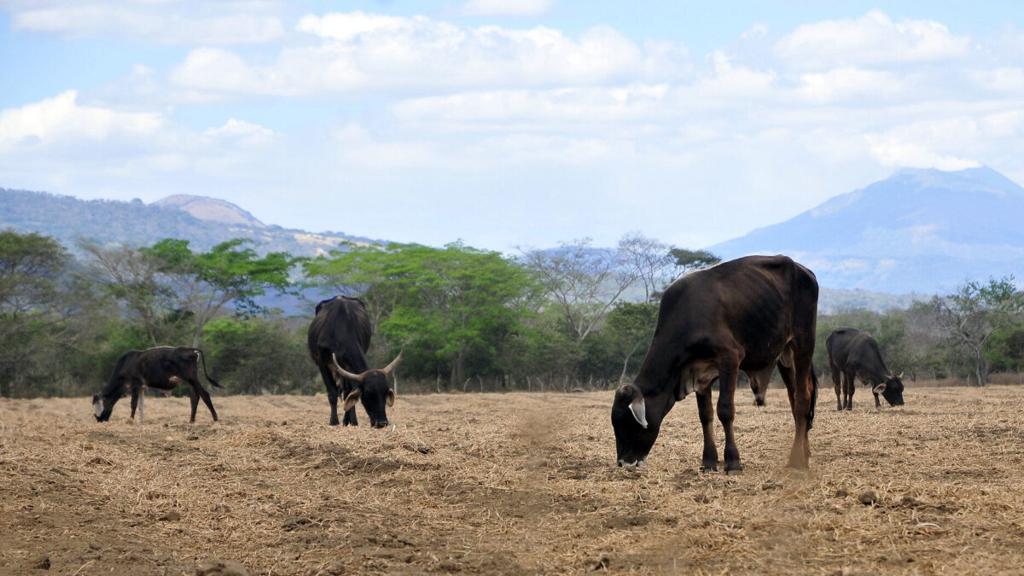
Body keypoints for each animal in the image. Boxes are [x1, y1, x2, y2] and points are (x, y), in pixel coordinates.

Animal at [92, 346, 221, 423]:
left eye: (100, 403)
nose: (99, 419)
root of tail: (191, 349)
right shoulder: (141, 387)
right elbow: (141, 406)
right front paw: (141, 421)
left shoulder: (135, 384)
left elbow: (133, 403)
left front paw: (131, 420)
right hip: (189, 381)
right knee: (194, 397)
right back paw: (191, 420)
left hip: (191, 378)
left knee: (205, 394)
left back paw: (215, 418)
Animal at [307, 296, 401, 428]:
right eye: (368, 394)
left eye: (385, 393)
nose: (382, 423)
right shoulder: (322, 363)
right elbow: (332, 393)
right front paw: (333, 422)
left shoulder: (348, 366)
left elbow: (349, 393)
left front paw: (353, 422)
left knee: (347, 392)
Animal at [611, 255, 819, 471]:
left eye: (626, 422)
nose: (623, 463)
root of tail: (805, 271)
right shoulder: (699, 372)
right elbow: (705, 415)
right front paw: (709, 460)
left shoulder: (730, 358)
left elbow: (725, 410)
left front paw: (733, 461)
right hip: (785, 356)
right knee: (794, 397)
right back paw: (805, 451)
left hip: (803, 343)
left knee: (802, 398)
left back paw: (796, 460)